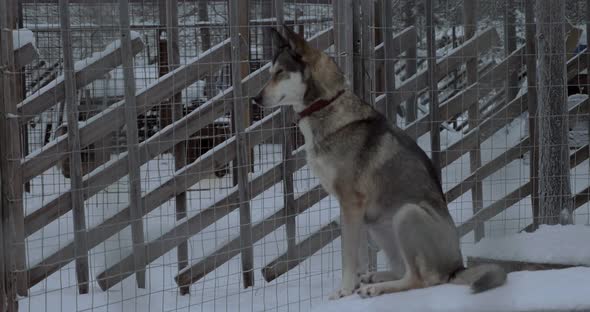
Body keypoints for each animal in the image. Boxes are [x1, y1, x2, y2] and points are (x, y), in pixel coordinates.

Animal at [252, 26, 506, 300]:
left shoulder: (351, 204)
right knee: (401, 269)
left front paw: (344, 290)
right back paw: (373, 277)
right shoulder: (355, 211)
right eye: (269, 73)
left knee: (420, 279)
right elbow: (359, 255)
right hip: (378, 224)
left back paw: (376, 288)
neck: (327, 106)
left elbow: (348, 255)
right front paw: (353, 284)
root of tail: (456, 267)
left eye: (280, 72)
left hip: (406, 214)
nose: (255, 99)